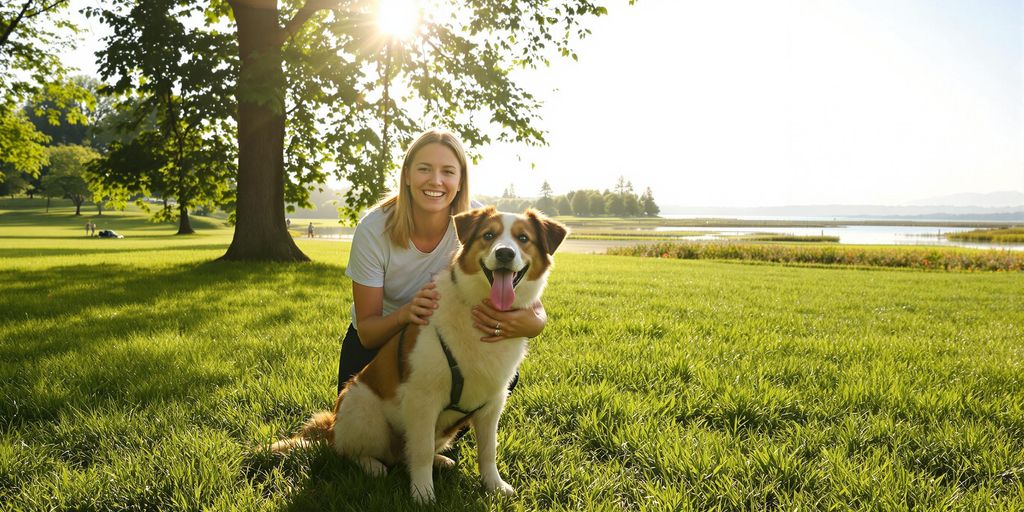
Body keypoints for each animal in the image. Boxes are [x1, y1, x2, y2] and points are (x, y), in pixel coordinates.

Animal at [272, 205, 569, 501]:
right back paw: (372, 466)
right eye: (488, 235)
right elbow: (422, 451)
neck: (476, 307)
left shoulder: (492, 403)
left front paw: (494, 485)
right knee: (350, 451)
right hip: (364, 409)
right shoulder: (423, 400)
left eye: (523, 238)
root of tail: (331, 425)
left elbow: (488, 450)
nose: (505, 253)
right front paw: (423, 493)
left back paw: (442, 460)